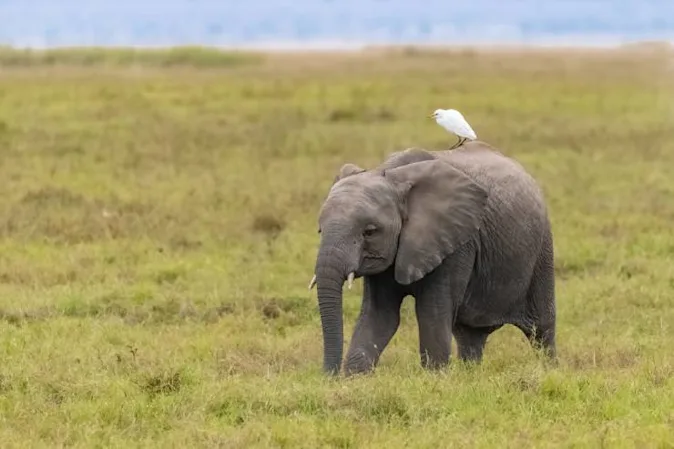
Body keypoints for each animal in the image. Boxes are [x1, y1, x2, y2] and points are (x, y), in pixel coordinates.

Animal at [308, 141, 556, 376]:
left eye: (369, 232)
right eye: (320, 230)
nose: (328, 376)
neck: (392, 175)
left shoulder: (456, 243)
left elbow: (432, 314)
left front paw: (435, 377)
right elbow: (379, 317)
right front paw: (355, 379)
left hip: (541, 249)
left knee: (541, 328)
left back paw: (549, 371)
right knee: (469, 335)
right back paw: (470, 375)